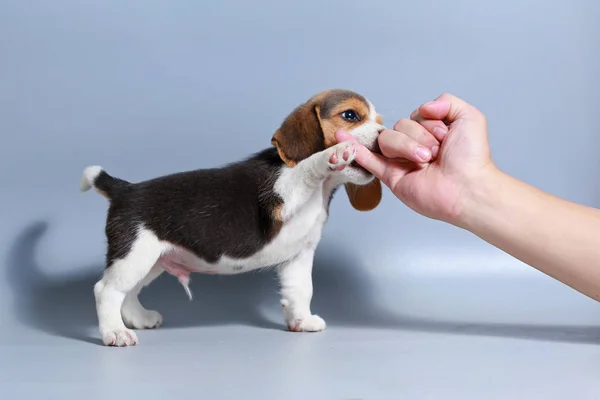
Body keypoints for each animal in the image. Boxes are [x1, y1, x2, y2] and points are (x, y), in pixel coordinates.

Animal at [81, 89, 384, 346]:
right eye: (350, 116)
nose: (383, 137)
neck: (323, 189)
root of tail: (125, 189)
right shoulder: (281, 198)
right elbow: (306, 166)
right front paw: (332, 154)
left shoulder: (299, 255)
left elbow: (300, 291)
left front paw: (301, 321)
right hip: (134, 254)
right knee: (105, 290)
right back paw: (115, 332)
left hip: (151, 259)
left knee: (128, 292)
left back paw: (138, 319)